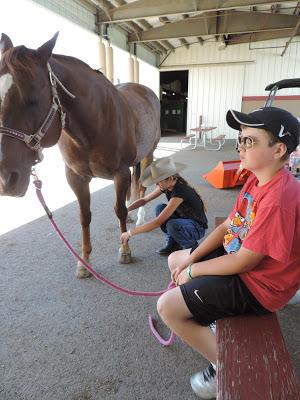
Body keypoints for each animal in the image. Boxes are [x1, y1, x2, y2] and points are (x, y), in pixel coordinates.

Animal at [0, 33, 161, 278]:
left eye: (32, 100)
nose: (4, 180)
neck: (93, 127)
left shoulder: (120, 172)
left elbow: (119, 210)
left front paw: (125, 250)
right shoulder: (76, 177)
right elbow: (85, 217)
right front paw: (84, 262)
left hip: (148, 155)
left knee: (142, 186)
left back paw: (140, 217)